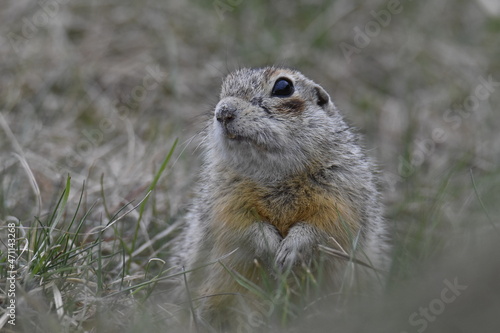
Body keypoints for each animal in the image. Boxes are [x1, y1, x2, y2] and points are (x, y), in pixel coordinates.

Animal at [170, 65, 388, 330]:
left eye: (283, 87)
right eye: (224, 88)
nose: (223, 112)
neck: (275, 174)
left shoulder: (343, 193)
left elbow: (328, 227)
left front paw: (291, 249)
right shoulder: (224, 198)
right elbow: (237, 225)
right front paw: (270, 246)